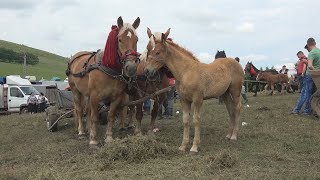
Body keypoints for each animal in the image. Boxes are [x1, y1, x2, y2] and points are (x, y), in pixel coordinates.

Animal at [67, 15, 140, 145]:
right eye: (119, 39)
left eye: (136, 39)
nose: (131, 67)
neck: (108, 68)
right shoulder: (95, 96)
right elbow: (94, 117)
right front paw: (93, 140)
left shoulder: (116, 97)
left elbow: (110, 115)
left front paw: (109, 137)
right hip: (75, 90)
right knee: (79, 110)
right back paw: (81, 131)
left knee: (87, 110)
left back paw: (87, 129)